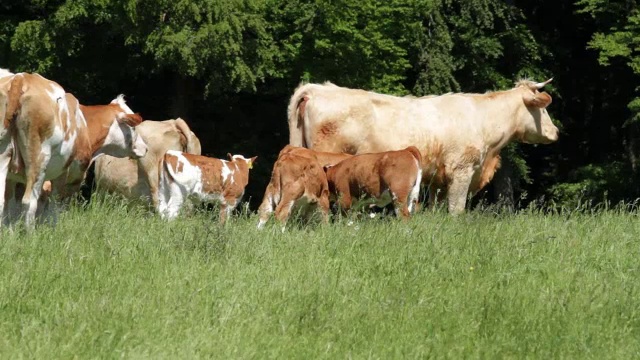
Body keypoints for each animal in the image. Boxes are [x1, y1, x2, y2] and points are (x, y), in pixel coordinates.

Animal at [0, 71, 146, 226]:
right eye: (133, 127)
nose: (145, 147)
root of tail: (22, 78)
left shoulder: (13, 179)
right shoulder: (70, 178)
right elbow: (55, 209)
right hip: (38, 160)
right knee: (29, 202)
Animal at [288, 79, 556, 214]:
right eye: (543, 109)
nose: (556, 132)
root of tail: (318, 88)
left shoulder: (438, 179)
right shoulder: (462, 171)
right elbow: (457, 209)